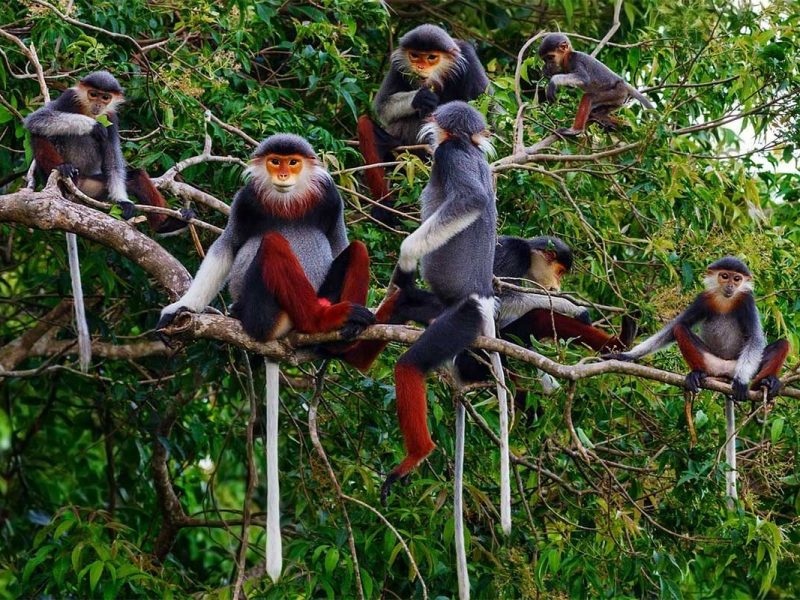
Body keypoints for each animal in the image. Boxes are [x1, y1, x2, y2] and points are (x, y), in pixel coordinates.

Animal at [23, 71, 193, 235]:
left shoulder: (111, 118)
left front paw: (123, 201)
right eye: (93, 94)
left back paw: (166, 225)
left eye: (105, 97)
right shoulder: (69, 97)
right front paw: (94, 126)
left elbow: (113, 161)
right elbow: (36, 118)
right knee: (37, 134)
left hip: (93, 189)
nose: (98, 104)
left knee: (137, 176)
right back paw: (63, 170)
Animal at [357, 24, 489, 225]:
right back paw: (384, 209)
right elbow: (382, 106)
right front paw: (421, 97)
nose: (419, 67)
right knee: (365, 124)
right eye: (415, 55)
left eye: (431, 57)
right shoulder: (397, 65)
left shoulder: (469, 58)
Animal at [604, 257, 790, 402]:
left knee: (783, 343)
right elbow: (672, 329)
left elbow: (755, 339)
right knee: (680, 328)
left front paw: (742, 381)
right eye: (724, 276)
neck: (725, 300)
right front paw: (626, 355)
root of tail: (725, 371)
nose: (731, 286)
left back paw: (766, 383)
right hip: (712, 362)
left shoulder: (747, 302)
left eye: (737, 279)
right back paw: (698, 375)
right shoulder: (703, 299)